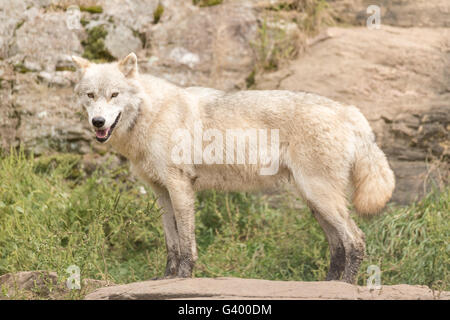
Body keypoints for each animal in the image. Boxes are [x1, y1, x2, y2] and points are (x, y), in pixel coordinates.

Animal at [73, 52, 394, 282]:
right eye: (91, 95)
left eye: (114, 95)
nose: (98, 122)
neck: (150, 114)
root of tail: (350, 111)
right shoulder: (161, 192)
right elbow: (171, 243)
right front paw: (165, 278)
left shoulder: (180, 187)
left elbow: (186, 242)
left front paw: (183, 278)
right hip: (315, 202)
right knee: (338, 247)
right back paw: (328, 285)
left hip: (320, 197)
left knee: (355, 240)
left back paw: (346, 286)